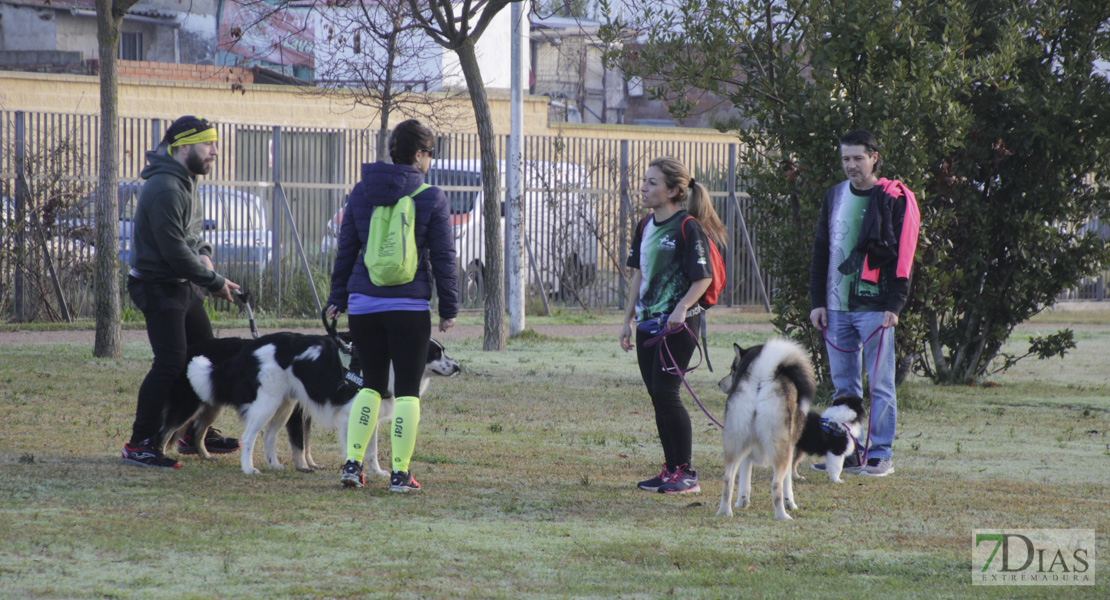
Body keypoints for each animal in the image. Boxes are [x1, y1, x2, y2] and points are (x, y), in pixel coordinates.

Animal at [714, 337, 821, 519]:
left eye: (733, 370)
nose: (719, 383)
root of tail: (761, 378)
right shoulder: (790, 448)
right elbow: (787, 483)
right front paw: (791, 504)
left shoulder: (747, 451)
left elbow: (744, 479)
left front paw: (742, 502)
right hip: (781, 450)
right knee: (776, 484)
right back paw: (782, 516)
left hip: (734, 445)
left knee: (727, 478)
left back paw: (725, 511)